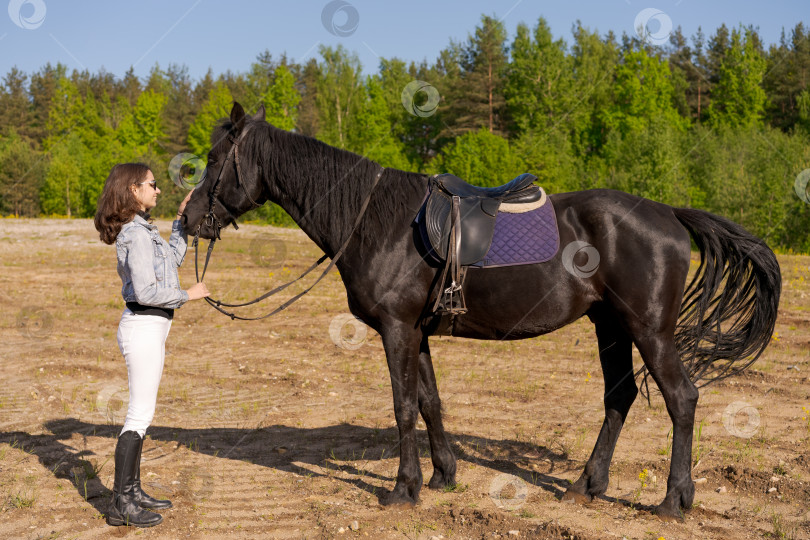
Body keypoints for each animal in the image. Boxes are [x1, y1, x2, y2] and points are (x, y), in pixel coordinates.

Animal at [181, 103, 776, 520]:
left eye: (211, 161)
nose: (187, 221)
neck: (375, 220)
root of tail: (668, 214)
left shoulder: (396, 330)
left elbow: (402, 406)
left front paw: (402, 489)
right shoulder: (416, 332)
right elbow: (430, 402)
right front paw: (442, 476)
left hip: (648, 329)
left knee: (681, 399)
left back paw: (674, 500)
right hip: (610, 325)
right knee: (620, 397)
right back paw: (585, 486)